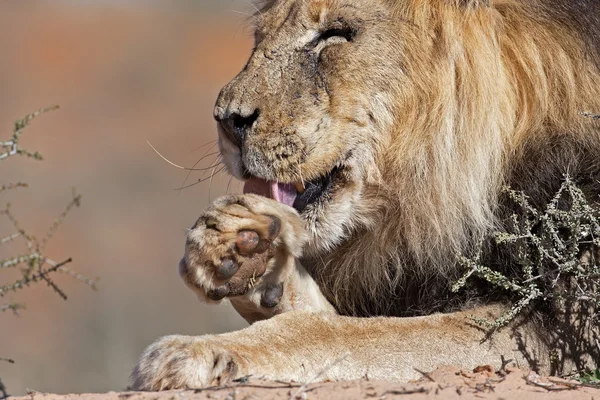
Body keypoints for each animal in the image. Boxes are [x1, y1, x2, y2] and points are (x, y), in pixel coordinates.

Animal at [130, 0, 600, 390]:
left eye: (335, 34)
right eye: (260, 37)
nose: (227, 120)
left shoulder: (559, 336)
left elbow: (354, 333)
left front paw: (200, 351)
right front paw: (237, 247)